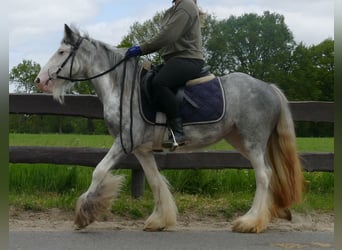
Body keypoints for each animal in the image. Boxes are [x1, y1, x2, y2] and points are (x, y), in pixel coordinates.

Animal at [34, 24, 302, 233]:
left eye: (61, 52)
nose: (39, 80)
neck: (123, 87)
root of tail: (269, 87)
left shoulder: (123, 143)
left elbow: (99, 171)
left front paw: (85, 213)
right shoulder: (141, 150)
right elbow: (155, 181)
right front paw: (159, 220)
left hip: (252, 141)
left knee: (263, 175)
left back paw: (250, 222)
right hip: (239, 140)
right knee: (268, 173)